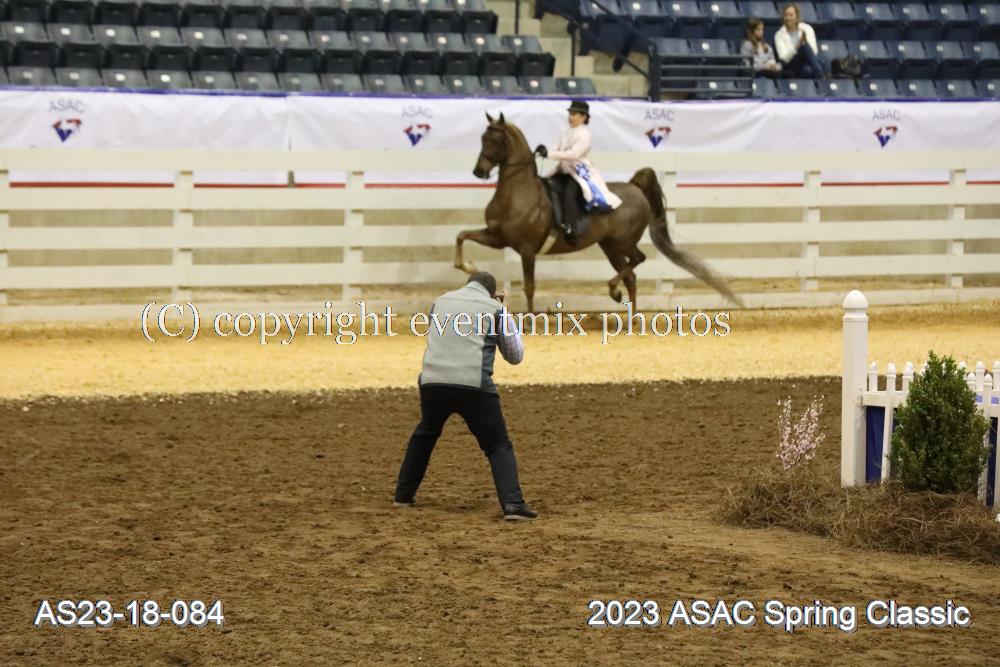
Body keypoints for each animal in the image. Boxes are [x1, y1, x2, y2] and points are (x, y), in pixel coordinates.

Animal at [455, 113, 743, 312]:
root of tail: (634, 187)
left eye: (495, 139)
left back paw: (615, 293)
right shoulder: (497, 237)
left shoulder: (527, 249)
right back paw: (631, 317)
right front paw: (468, 266)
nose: (479, 171)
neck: (517, 192)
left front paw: (529, 319)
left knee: (637, 261)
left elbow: (529, 287)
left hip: (621, 242)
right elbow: (461, 236)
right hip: (610, 247)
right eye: (482, 138)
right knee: (632, 276)